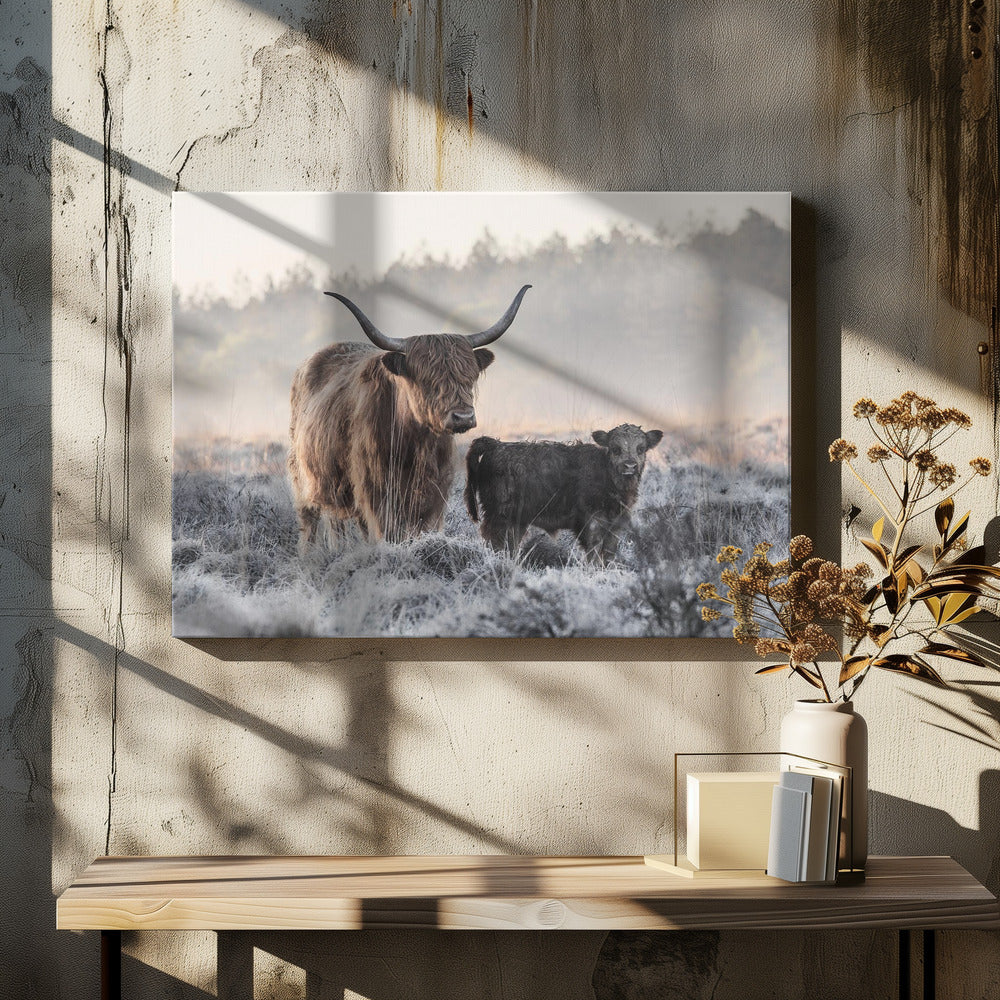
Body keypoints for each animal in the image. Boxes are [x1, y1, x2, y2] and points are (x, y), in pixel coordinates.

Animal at [288, 285, 532, 548]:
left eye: (469, 377)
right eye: (427, 380)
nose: (463, 417)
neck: (417, 444)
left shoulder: (435, 496)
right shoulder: (375, 494)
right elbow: (387, 534)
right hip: (305, 481)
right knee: (311, 524)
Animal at [463, 423, 664, 563]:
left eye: (641, 448)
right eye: (615, 449)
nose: (630, 466)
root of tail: (496, 445)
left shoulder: (615, 525)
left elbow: (608, 554)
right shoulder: (591, 522)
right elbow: (594, 553)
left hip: (516, 521)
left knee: (510, 545)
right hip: (499, 516)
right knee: (495, 542)